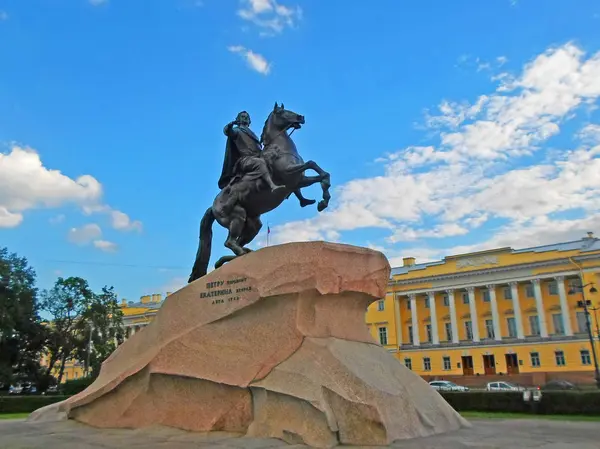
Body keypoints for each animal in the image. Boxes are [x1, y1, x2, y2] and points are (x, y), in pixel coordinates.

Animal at [189, 103, 330, 282]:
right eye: (283, 112)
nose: (301, 117)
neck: (279, 148)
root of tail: (212, 207)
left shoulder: (298, 181)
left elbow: (321, 174)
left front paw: (323, 200)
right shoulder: (289, 173)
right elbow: (312, 164)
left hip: (253, 225)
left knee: (237, 243)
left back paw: (237, 256)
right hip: (237, 216)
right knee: (230, 242)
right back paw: (239, 254)